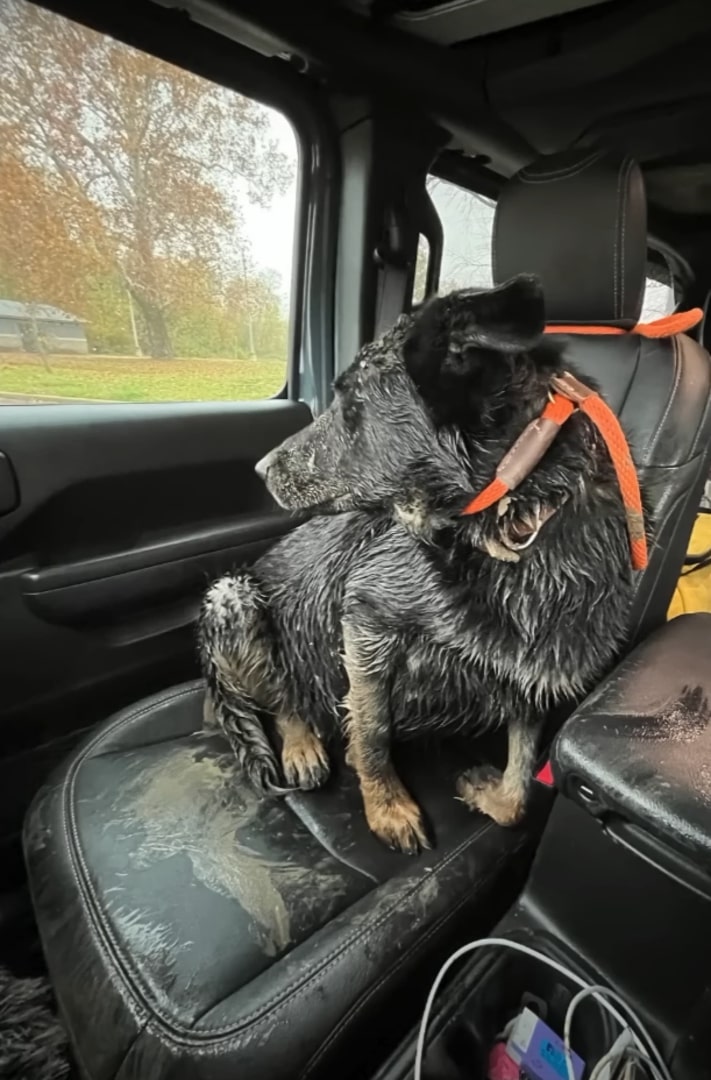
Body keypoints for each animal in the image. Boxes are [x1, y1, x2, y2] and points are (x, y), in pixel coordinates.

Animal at [196, 276, 635, 851]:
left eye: (352, 400)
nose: (260, 469)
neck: (514, 517)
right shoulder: (365, 621)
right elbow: (373, 728)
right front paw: (387, 808)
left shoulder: (535, 674)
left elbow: (519, 791)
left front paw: (484, 790)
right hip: (234, 597)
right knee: (285, 696)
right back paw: (301, 745)